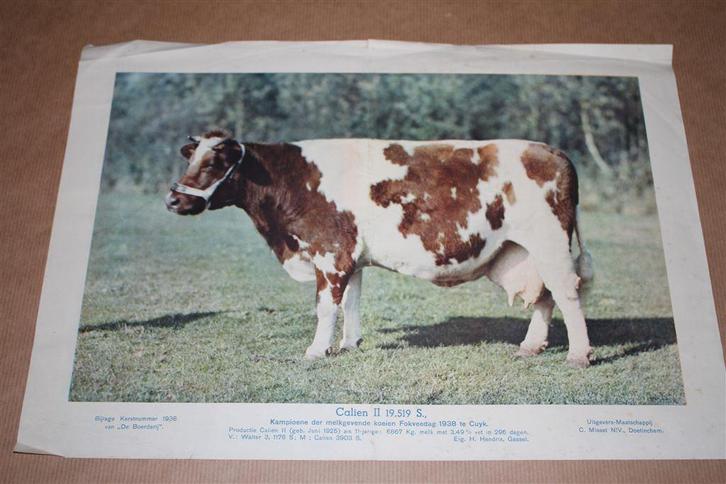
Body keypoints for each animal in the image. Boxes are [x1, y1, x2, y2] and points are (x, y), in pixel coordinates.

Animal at [165, 129, 595, 367]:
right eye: (191, 160)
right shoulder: (351, 258)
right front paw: (349, 344)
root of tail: (552, 151)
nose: (172, 200)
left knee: (566, 292)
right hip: (524, 249)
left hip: (549, 242)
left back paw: (578, 355)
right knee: (544, 296)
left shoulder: (330, 252)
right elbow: (352, 302)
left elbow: (326, 307)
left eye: (212, 164)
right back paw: (530, 347)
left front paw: (316, 350)